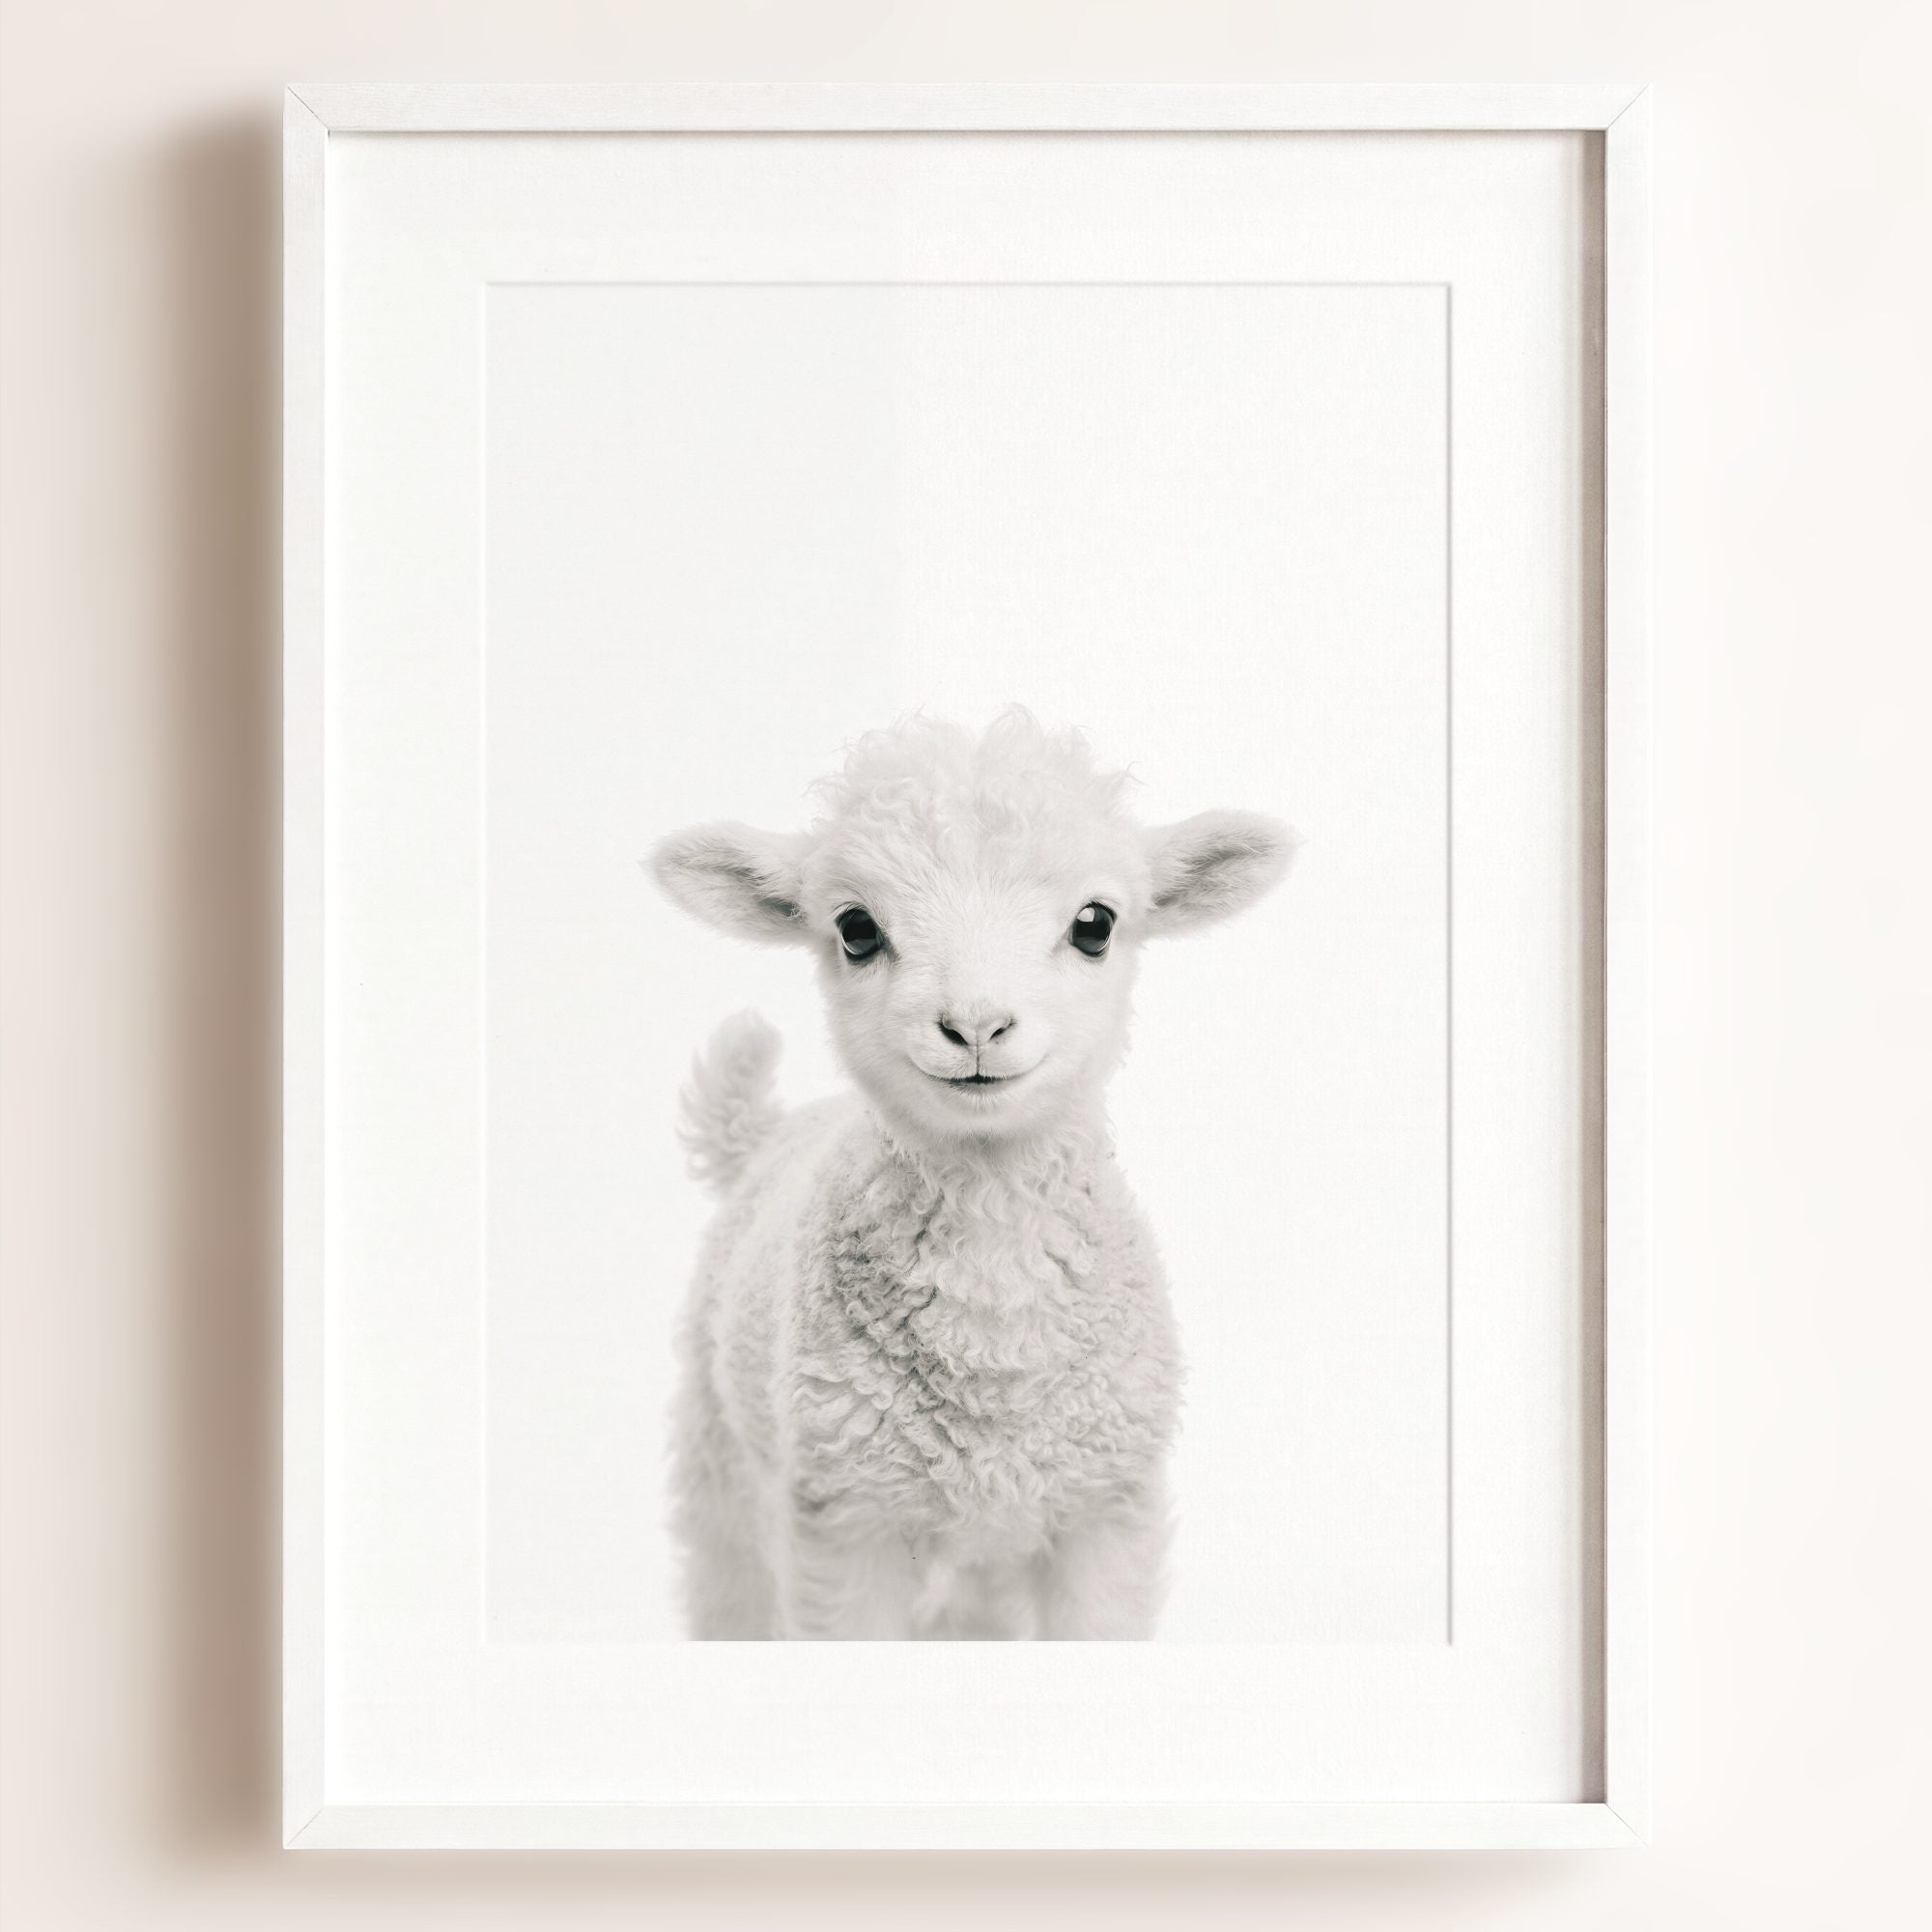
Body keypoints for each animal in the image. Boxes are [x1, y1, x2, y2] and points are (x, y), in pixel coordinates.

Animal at [648, 708, 1298, 1639]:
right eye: (855, 929)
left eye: (1096, 924)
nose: (977, 1026)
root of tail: (770, 1131)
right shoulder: (845, 1524)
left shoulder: (1105, 1512)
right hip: (723, 1460)